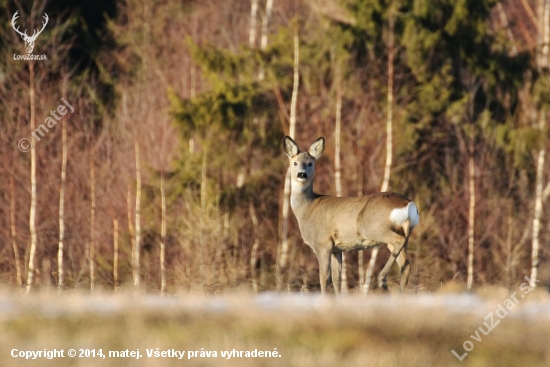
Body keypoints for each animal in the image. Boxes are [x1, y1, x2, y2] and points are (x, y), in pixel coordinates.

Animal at [284, 137, 422, 294]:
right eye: (295, 163)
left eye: (310, 163)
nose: (302, 174)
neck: (306, 208)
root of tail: (408, 205)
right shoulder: (337, 248)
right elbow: (337, 279)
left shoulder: (322, 242)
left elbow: (324, 278)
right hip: (404, 232)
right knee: (406, 266)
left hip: (372, 227)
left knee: (399, 242)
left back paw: (382, 279)